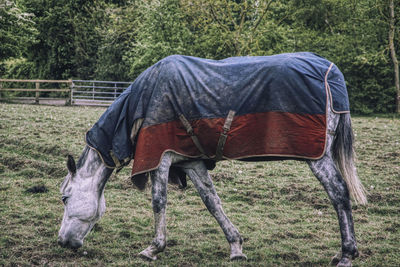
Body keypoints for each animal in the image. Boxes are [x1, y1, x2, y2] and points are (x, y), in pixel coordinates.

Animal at [57, 53, 368, 266]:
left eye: (65, 197)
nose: (62, 242)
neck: (142, 103)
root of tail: (331, 71)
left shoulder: (160, 157)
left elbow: (159, 201)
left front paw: (154, 247)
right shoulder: (191, 162)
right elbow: (212, 202)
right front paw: (236, 246)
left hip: (318, 158)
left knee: (339, 194)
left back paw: (346, 254)